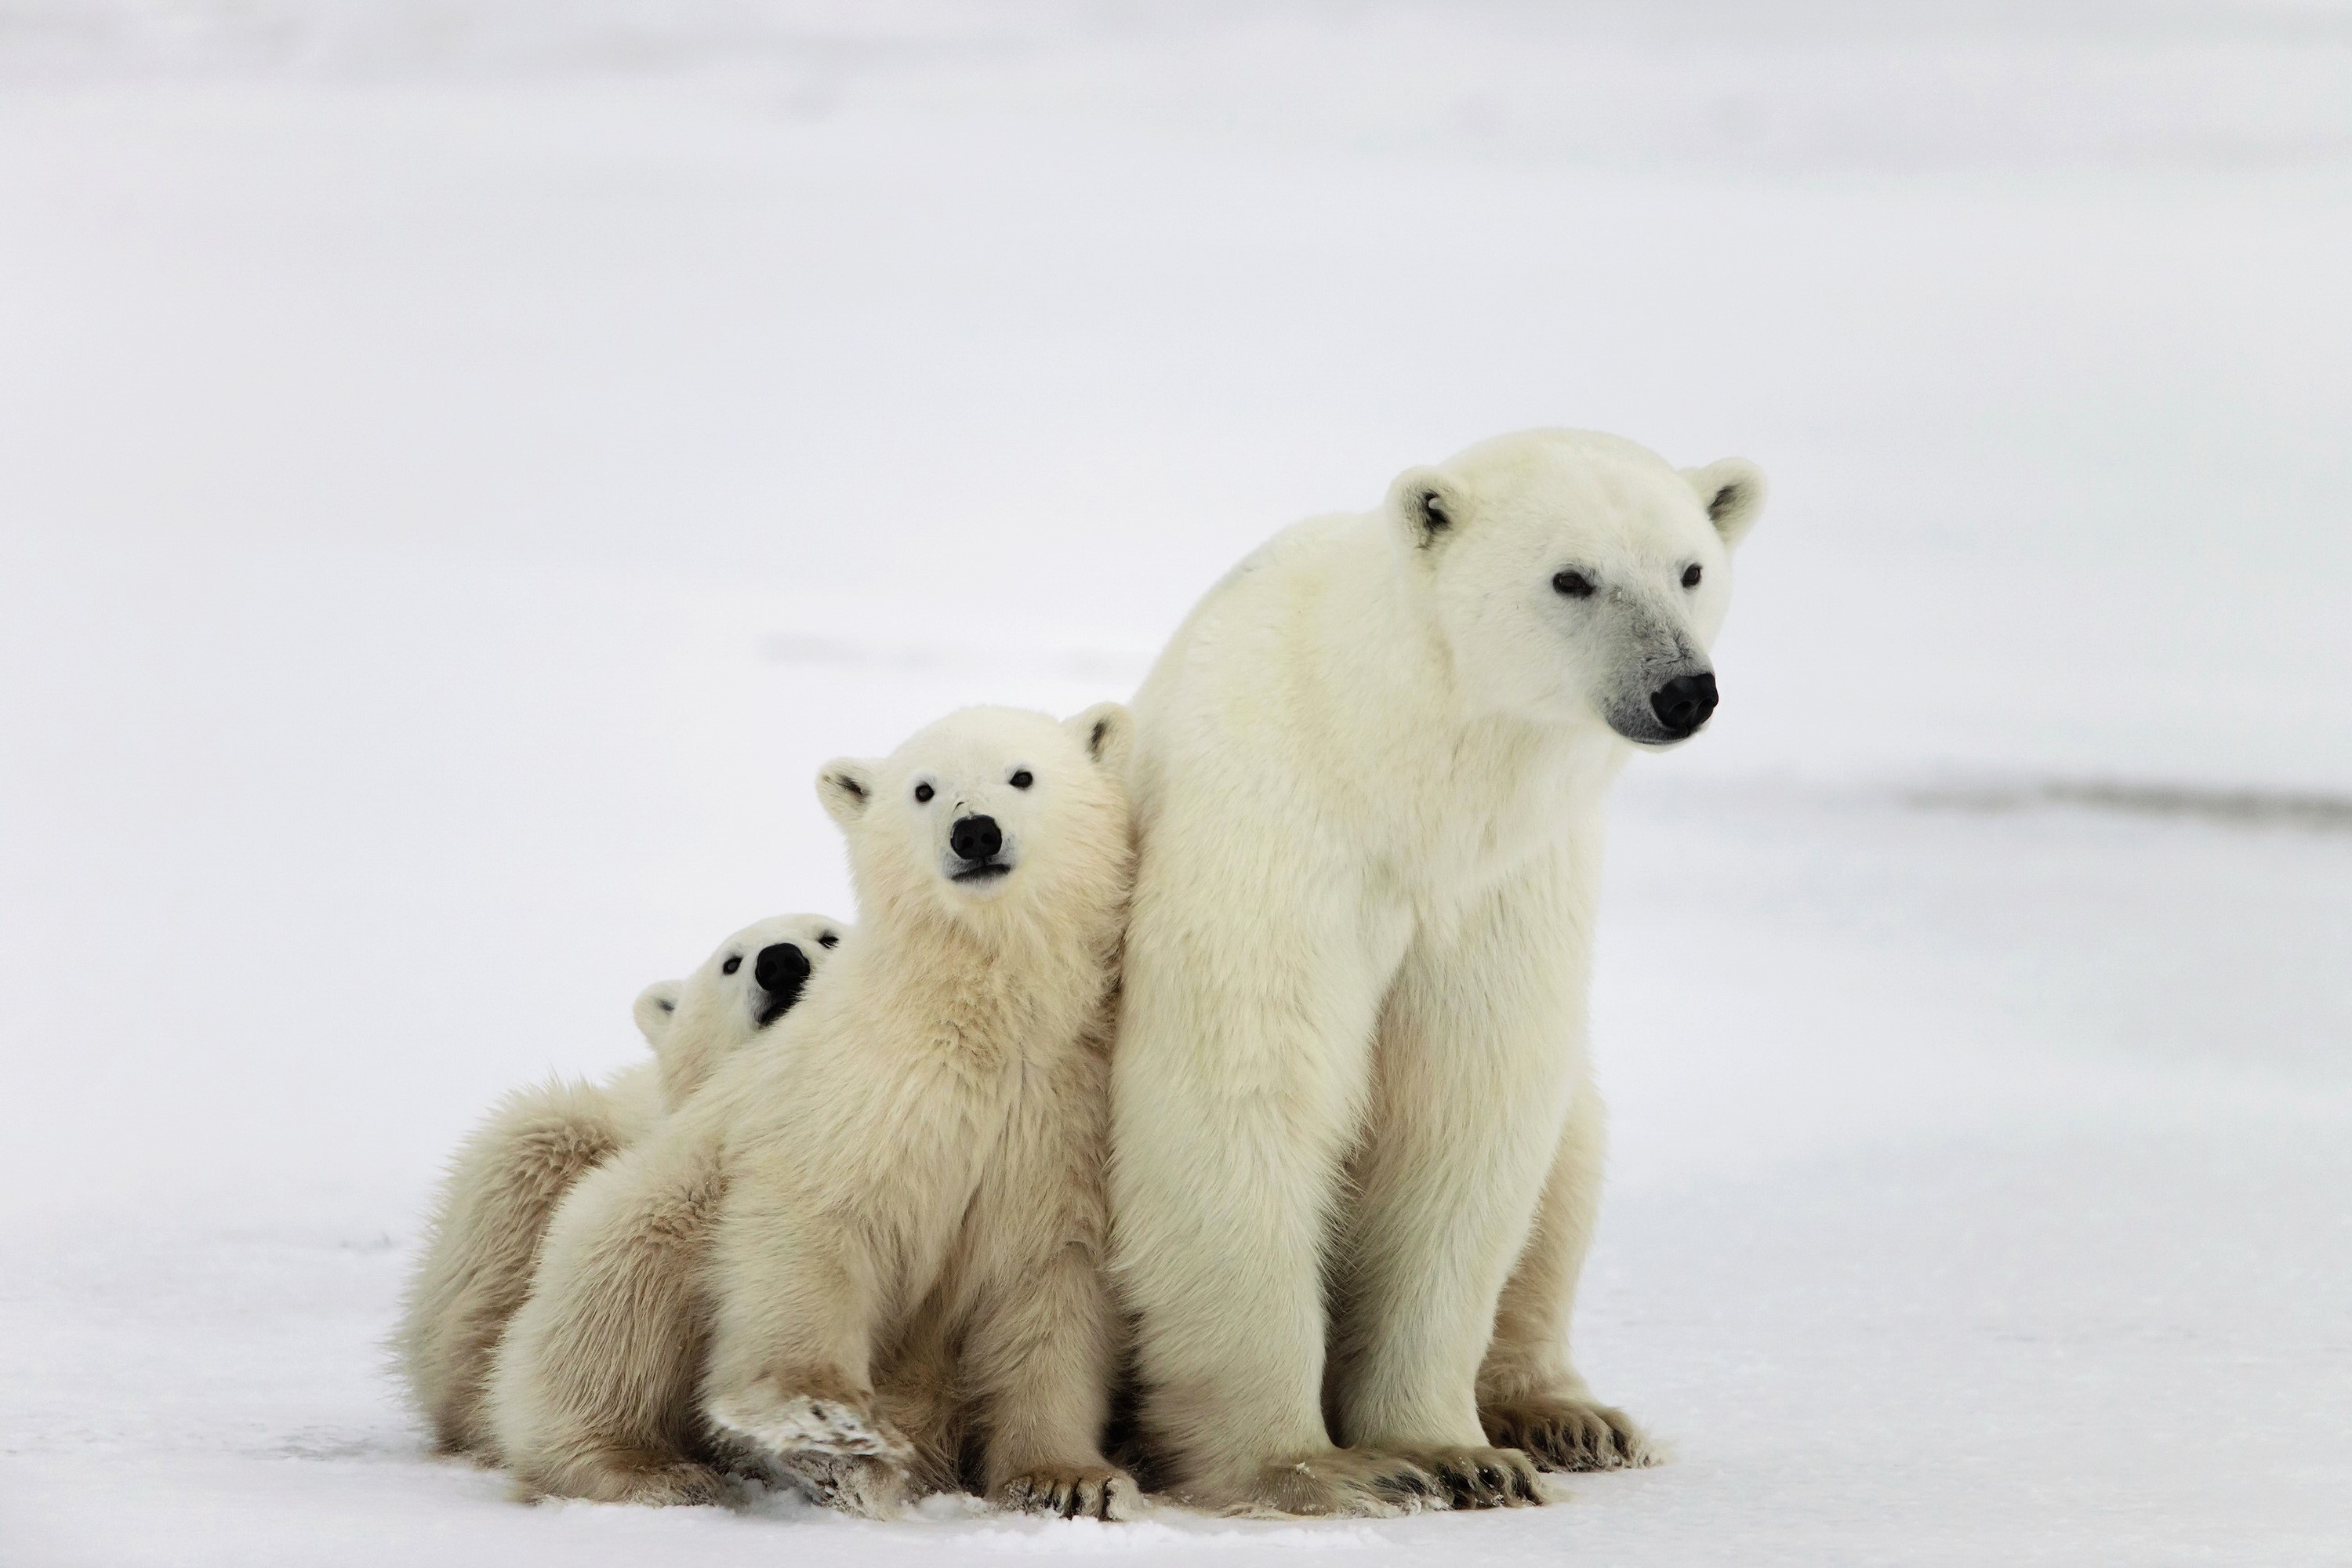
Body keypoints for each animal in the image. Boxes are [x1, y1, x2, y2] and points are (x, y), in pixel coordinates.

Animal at [486, 703, 1139, 1521]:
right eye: (923, 789)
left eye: (1022, 775)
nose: (975, 833)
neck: (978, 1019)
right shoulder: (855, 1089)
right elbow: (811, 1223)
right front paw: (829, 1434)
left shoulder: (1057, 1115)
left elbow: (1050, 1287)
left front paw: (1070, 1481)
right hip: (649, 1202)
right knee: (619, 1299)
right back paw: (646, 1468)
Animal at [1107, 428, 1765, 1514]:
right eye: (1572, 576)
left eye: (1690, 569)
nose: (1683, 690)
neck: (1398, 769)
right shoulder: (1274, 837)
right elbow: (1242, 1092)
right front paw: (1317, 1467)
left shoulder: (1501, 887)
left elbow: (1464, 1112)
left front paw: (1456, 1452)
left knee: (1569, 1161)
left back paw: (1570, 1415)